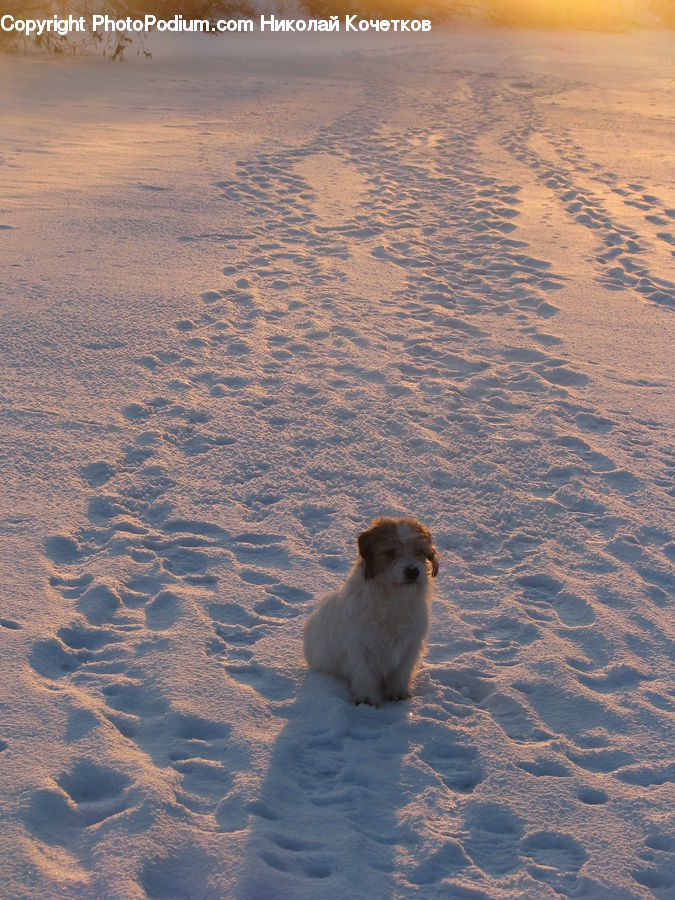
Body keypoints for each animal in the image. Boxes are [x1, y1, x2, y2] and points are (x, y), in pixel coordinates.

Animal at [304, 516, 440, 708]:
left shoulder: (411, 646)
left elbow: (401, 672)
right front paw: (367, 699)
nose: (413, 571)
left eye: (418, 550)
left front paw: (398, 693)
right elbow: (365, 674)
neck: (393, 598)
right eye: (390, 551)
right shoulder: (361, 647)